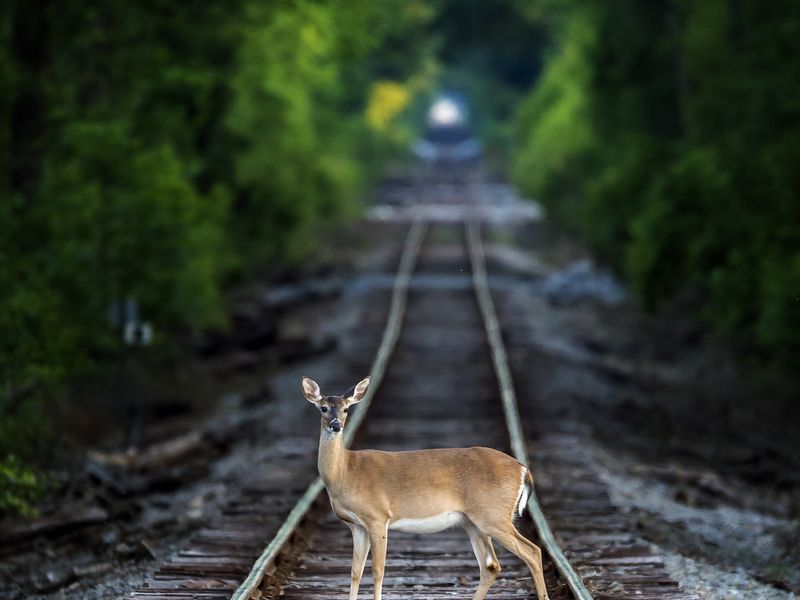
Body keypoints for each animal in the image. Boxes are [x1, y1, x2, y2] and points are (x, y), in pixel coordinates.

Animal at [302, 376, 550, 600]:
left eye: (346, 409)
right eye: (324, 408)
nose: (336, 425)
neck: (345, 472)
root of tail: (523, 469)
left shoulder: (377, 517)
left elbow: (378, 570)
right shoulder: (356, 526)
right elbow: (355, 572)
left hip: (492, 515)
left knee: (532, 552)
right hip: (472, 521)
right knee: (491, 566)